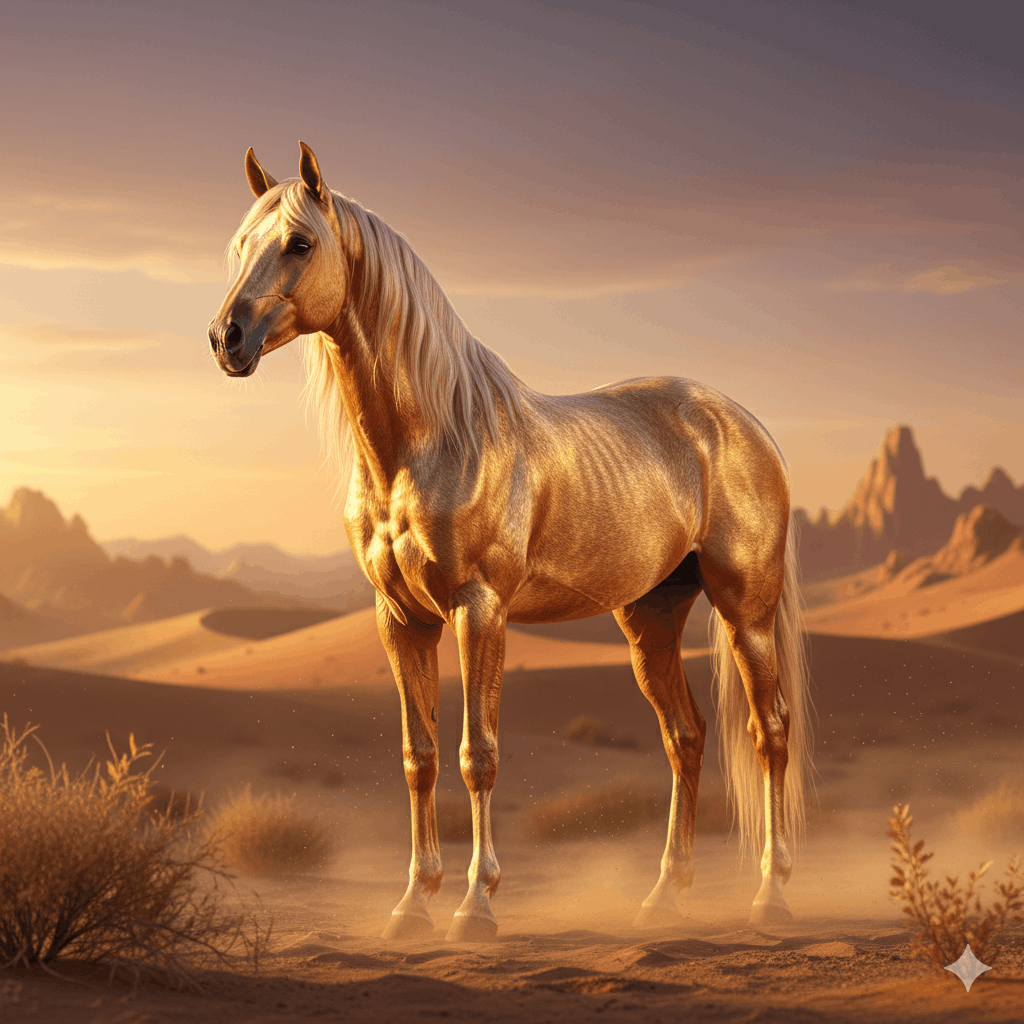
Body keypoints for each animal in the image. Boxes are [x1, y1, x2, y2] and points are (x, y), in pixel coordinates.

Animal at [209, 142, 813, 942]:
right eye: (239, 246)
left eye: (300, 243)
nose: (226, 339)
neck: (430, 441)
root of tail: (745, 423)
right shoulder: (401, 620)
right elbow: (420, 758)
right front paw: (412, 905)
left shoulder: (480, 610)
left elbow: (478, 756)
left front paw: (475, 906)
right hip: (651, 620)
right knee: (685, 737)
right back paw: (663, 897)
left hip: (746, 613)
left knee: (769, 731)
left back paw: (772, 895)